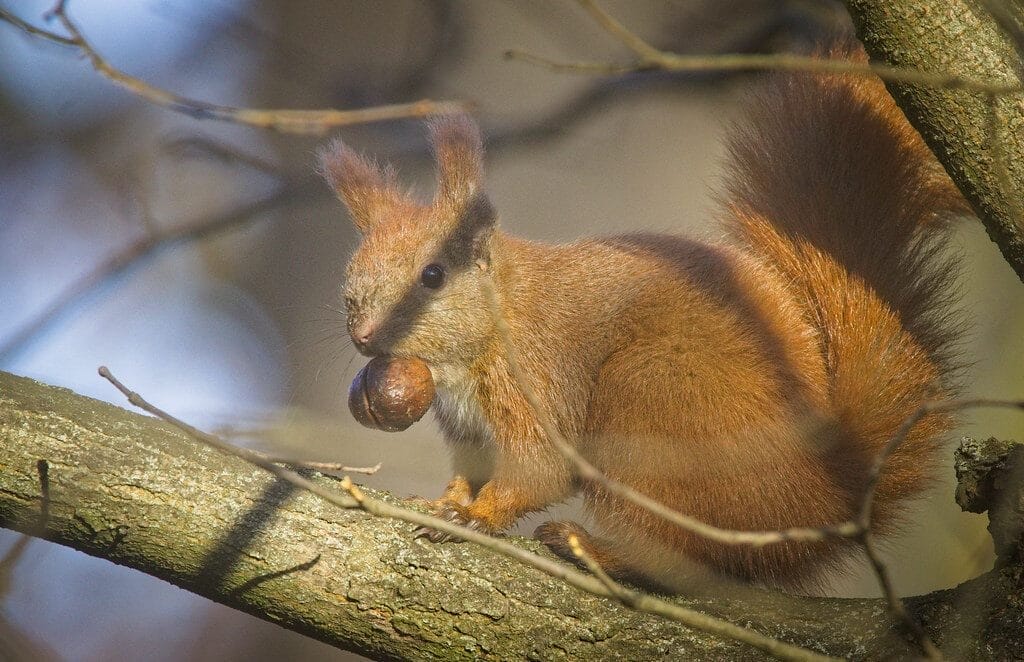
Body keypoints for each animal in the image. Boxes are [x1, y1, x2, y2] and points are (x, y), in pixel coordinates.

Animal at [320, 40, 969, 591]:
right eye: (349, 276)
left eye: (433, 276)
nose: (363, 336)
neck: (487, 333)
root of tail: (821, 500)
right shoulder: (469, 431)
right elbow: (471, 471)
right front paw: (449, 502)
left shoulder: (538, 379)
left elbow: (539, 470)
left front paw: (478, 517)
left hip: (651, 404)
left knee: (685, 559)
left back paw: (597, 549)